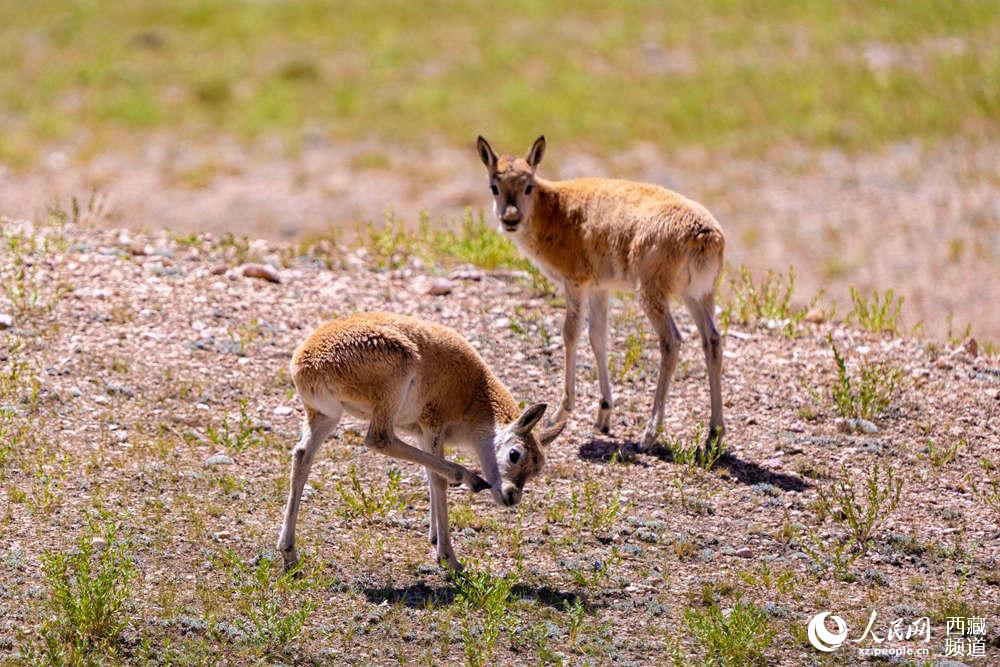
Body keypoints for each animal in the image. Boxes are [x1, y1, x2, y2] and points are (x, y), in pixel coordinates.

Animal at [276, 311, 564, 572]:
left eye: (537, 469)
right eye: (515, 454)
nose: (512, 496)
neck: (474, 392)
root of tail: (305, 363)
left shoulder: (420, 433)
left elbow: (429, 473)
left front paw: (435, 538)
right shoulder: (432, 424)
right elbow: (437, 480)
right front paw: (449, 558)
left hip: (325, 416)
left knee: (301, 455)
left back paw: (289, 552)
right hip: (389, 391)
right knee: (378, 438)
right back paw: (470, 478)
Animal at [476, 135, 725, 451]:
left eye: (528, 185)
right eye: (494, 186)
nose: (510, 219)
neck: (555, 207)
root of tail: (705, 233)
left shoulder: (575, 282)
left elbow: (570, 333)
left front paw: (560, 413)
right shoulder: (600, 288)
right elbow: (598, 335)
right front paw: (603, 414)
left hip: (652, 293)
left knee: (671, 341)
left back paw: (649, 434)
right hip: (698, 295)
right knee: (712, 341)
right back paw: (714, 434)